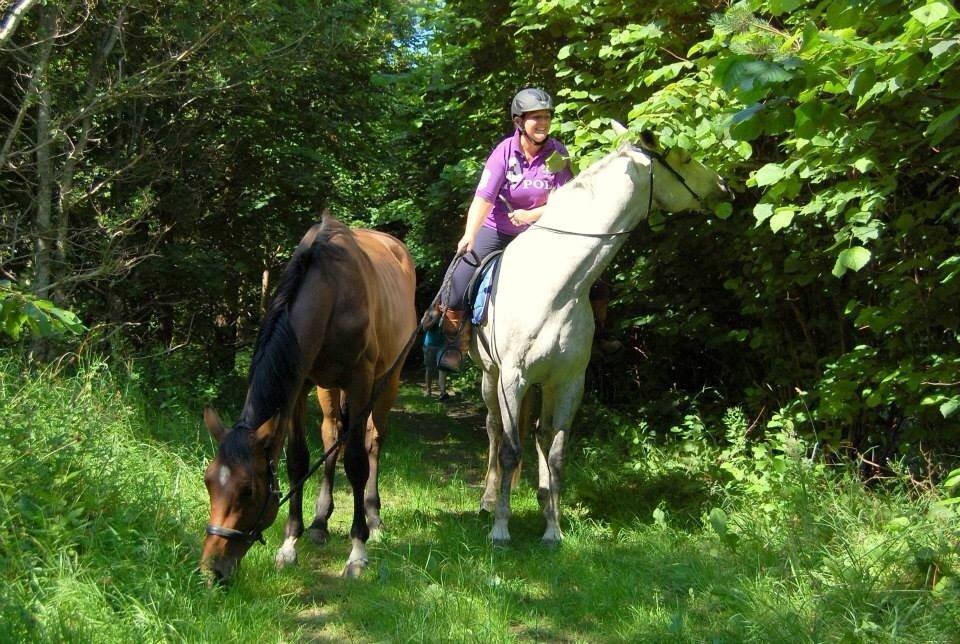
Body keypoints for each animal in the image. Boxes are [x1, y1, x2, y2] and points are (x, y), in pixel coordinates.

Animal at [201, 216, 414, 584]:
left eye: (248, 491)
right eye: (209, 482)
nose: (212, 569)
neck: (332, 292)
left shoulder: (360, 380)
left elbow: (356, 461)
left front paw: (358, 552)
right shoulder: (299, 383)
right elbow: (299, 460)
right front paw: (290, 544)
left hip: (388, 379)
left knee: (373, 441)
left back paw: (374, 519)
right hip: (328, 389)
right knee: (332, 436)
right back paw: (319, 522)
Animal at [472, 124, 728, 544]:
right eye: (686, 157)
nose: (723, 187)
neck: (557, 285)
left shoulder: (569, 381)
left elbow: (557, 452)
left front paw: (553, 529)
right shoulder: (513, 378)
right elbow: (510, 449)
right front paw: (500, 530)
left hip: (543, 384)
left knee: (539, 435)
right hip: (490, 376)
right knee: (495, 431)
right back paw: (489, 501)